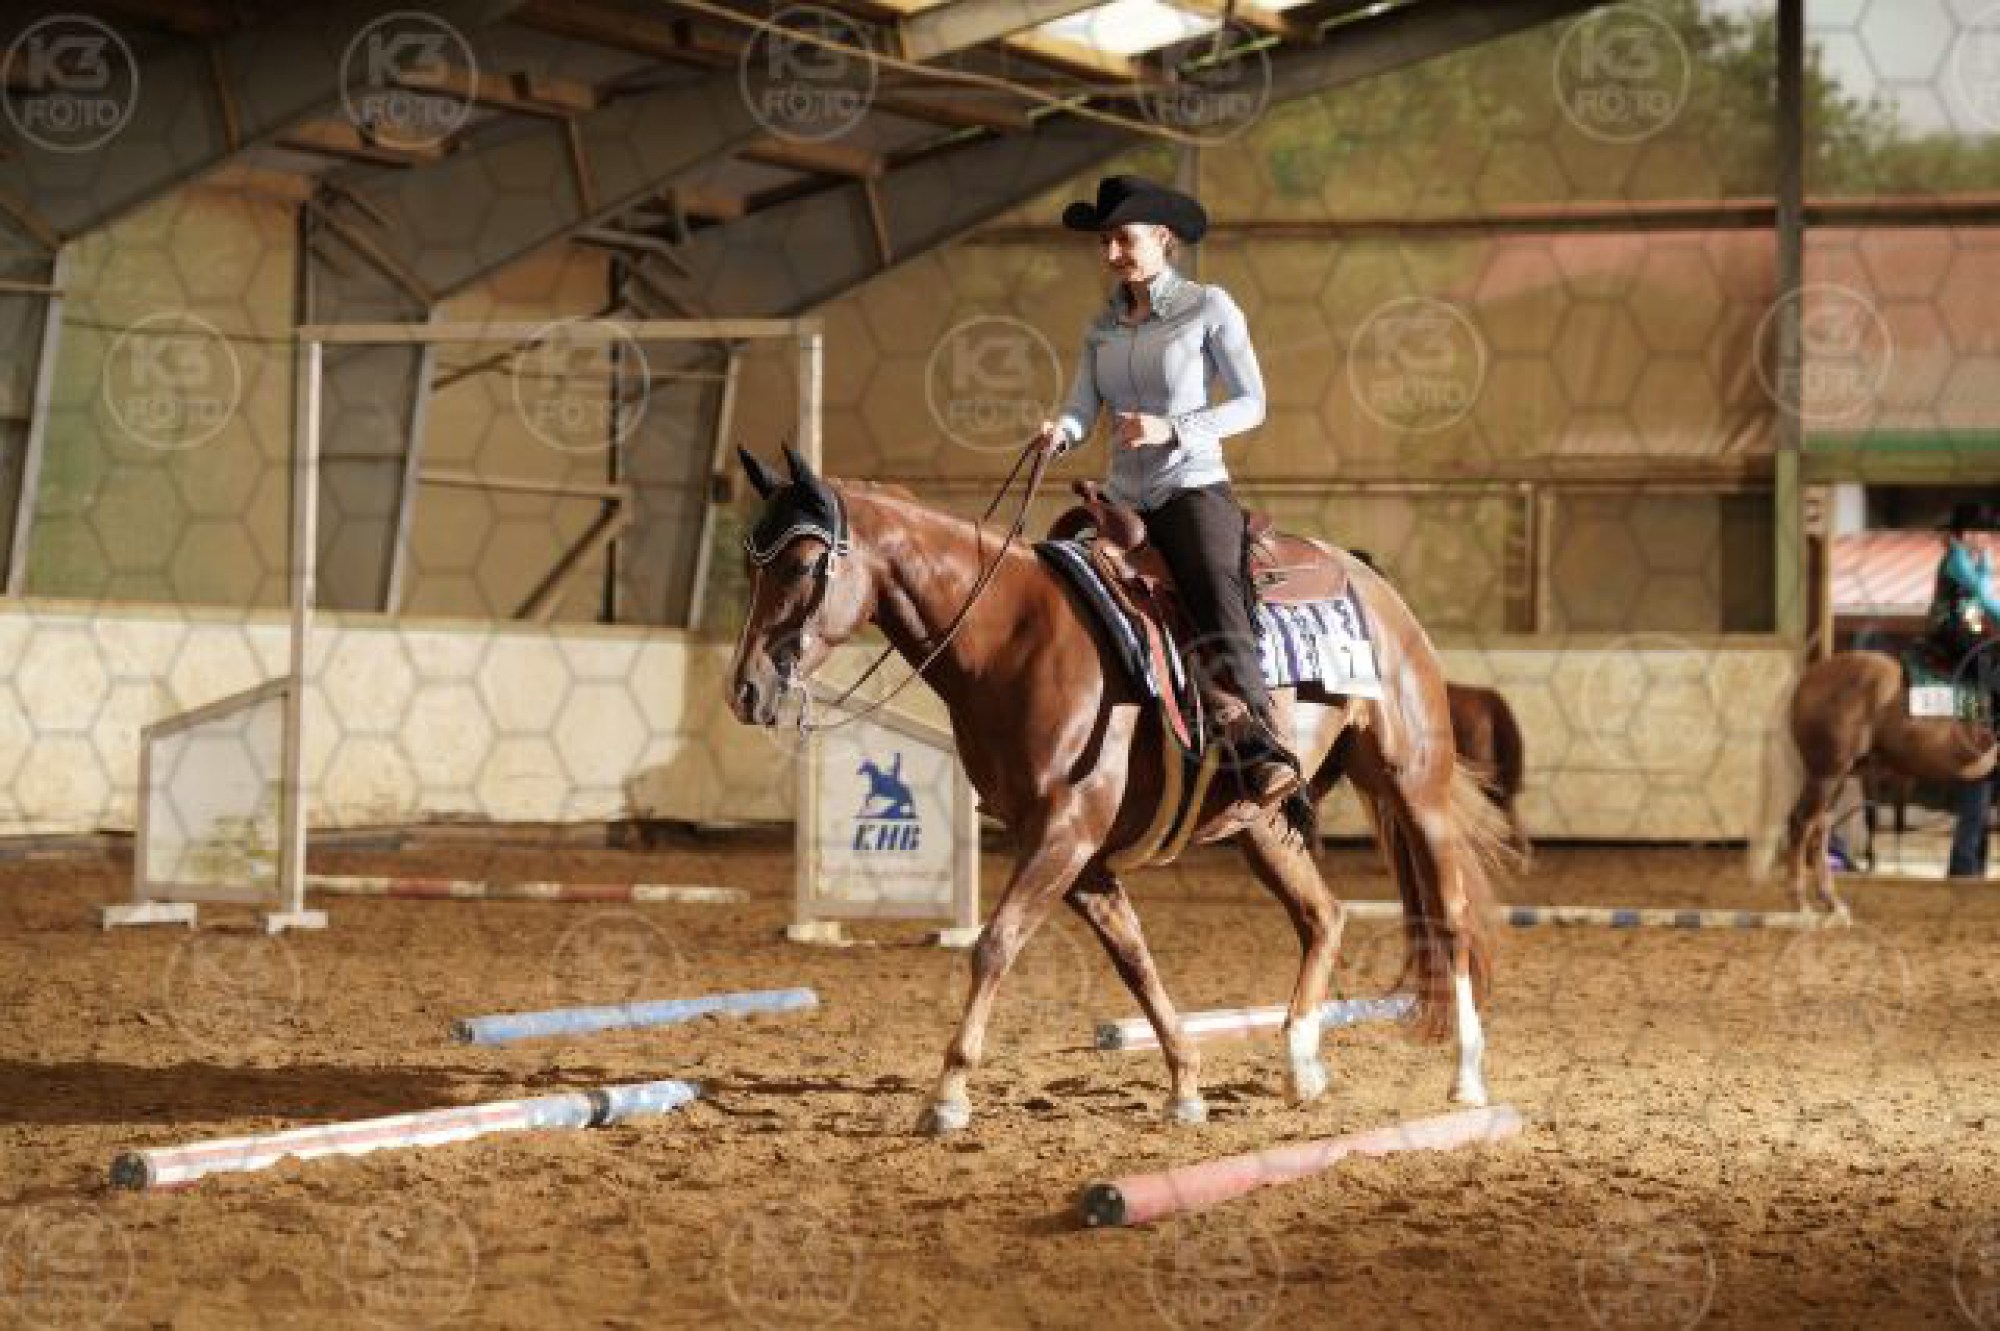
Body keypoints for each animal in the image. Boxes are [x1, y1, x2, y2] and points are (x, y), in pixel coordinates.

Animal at [727, 446, 1512, 1134]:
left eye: (803, 562)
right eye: (749, 562)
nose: (747, 689)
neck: (1011, 636)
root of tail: (1375, 586)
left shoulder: (1065, 834)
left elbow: (994, 944)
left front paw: (947, 1094)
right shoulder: (1083, 860)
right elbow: (1135, 961)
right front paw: (1186, 1086)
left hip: (1416, 789)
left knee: (1449, 916)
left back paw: (1467, 1079)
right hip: (1258, 822)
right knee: (1324, 916)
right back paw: (1301, 1065)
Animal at [1778, 648, 1997, 918]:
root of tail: (1809, 677)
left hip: (1839, 776)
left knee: (1821, 827)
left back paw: (1832, 902)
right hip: (1828, 773)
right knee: (1802, 822)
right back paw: (1801, 904)